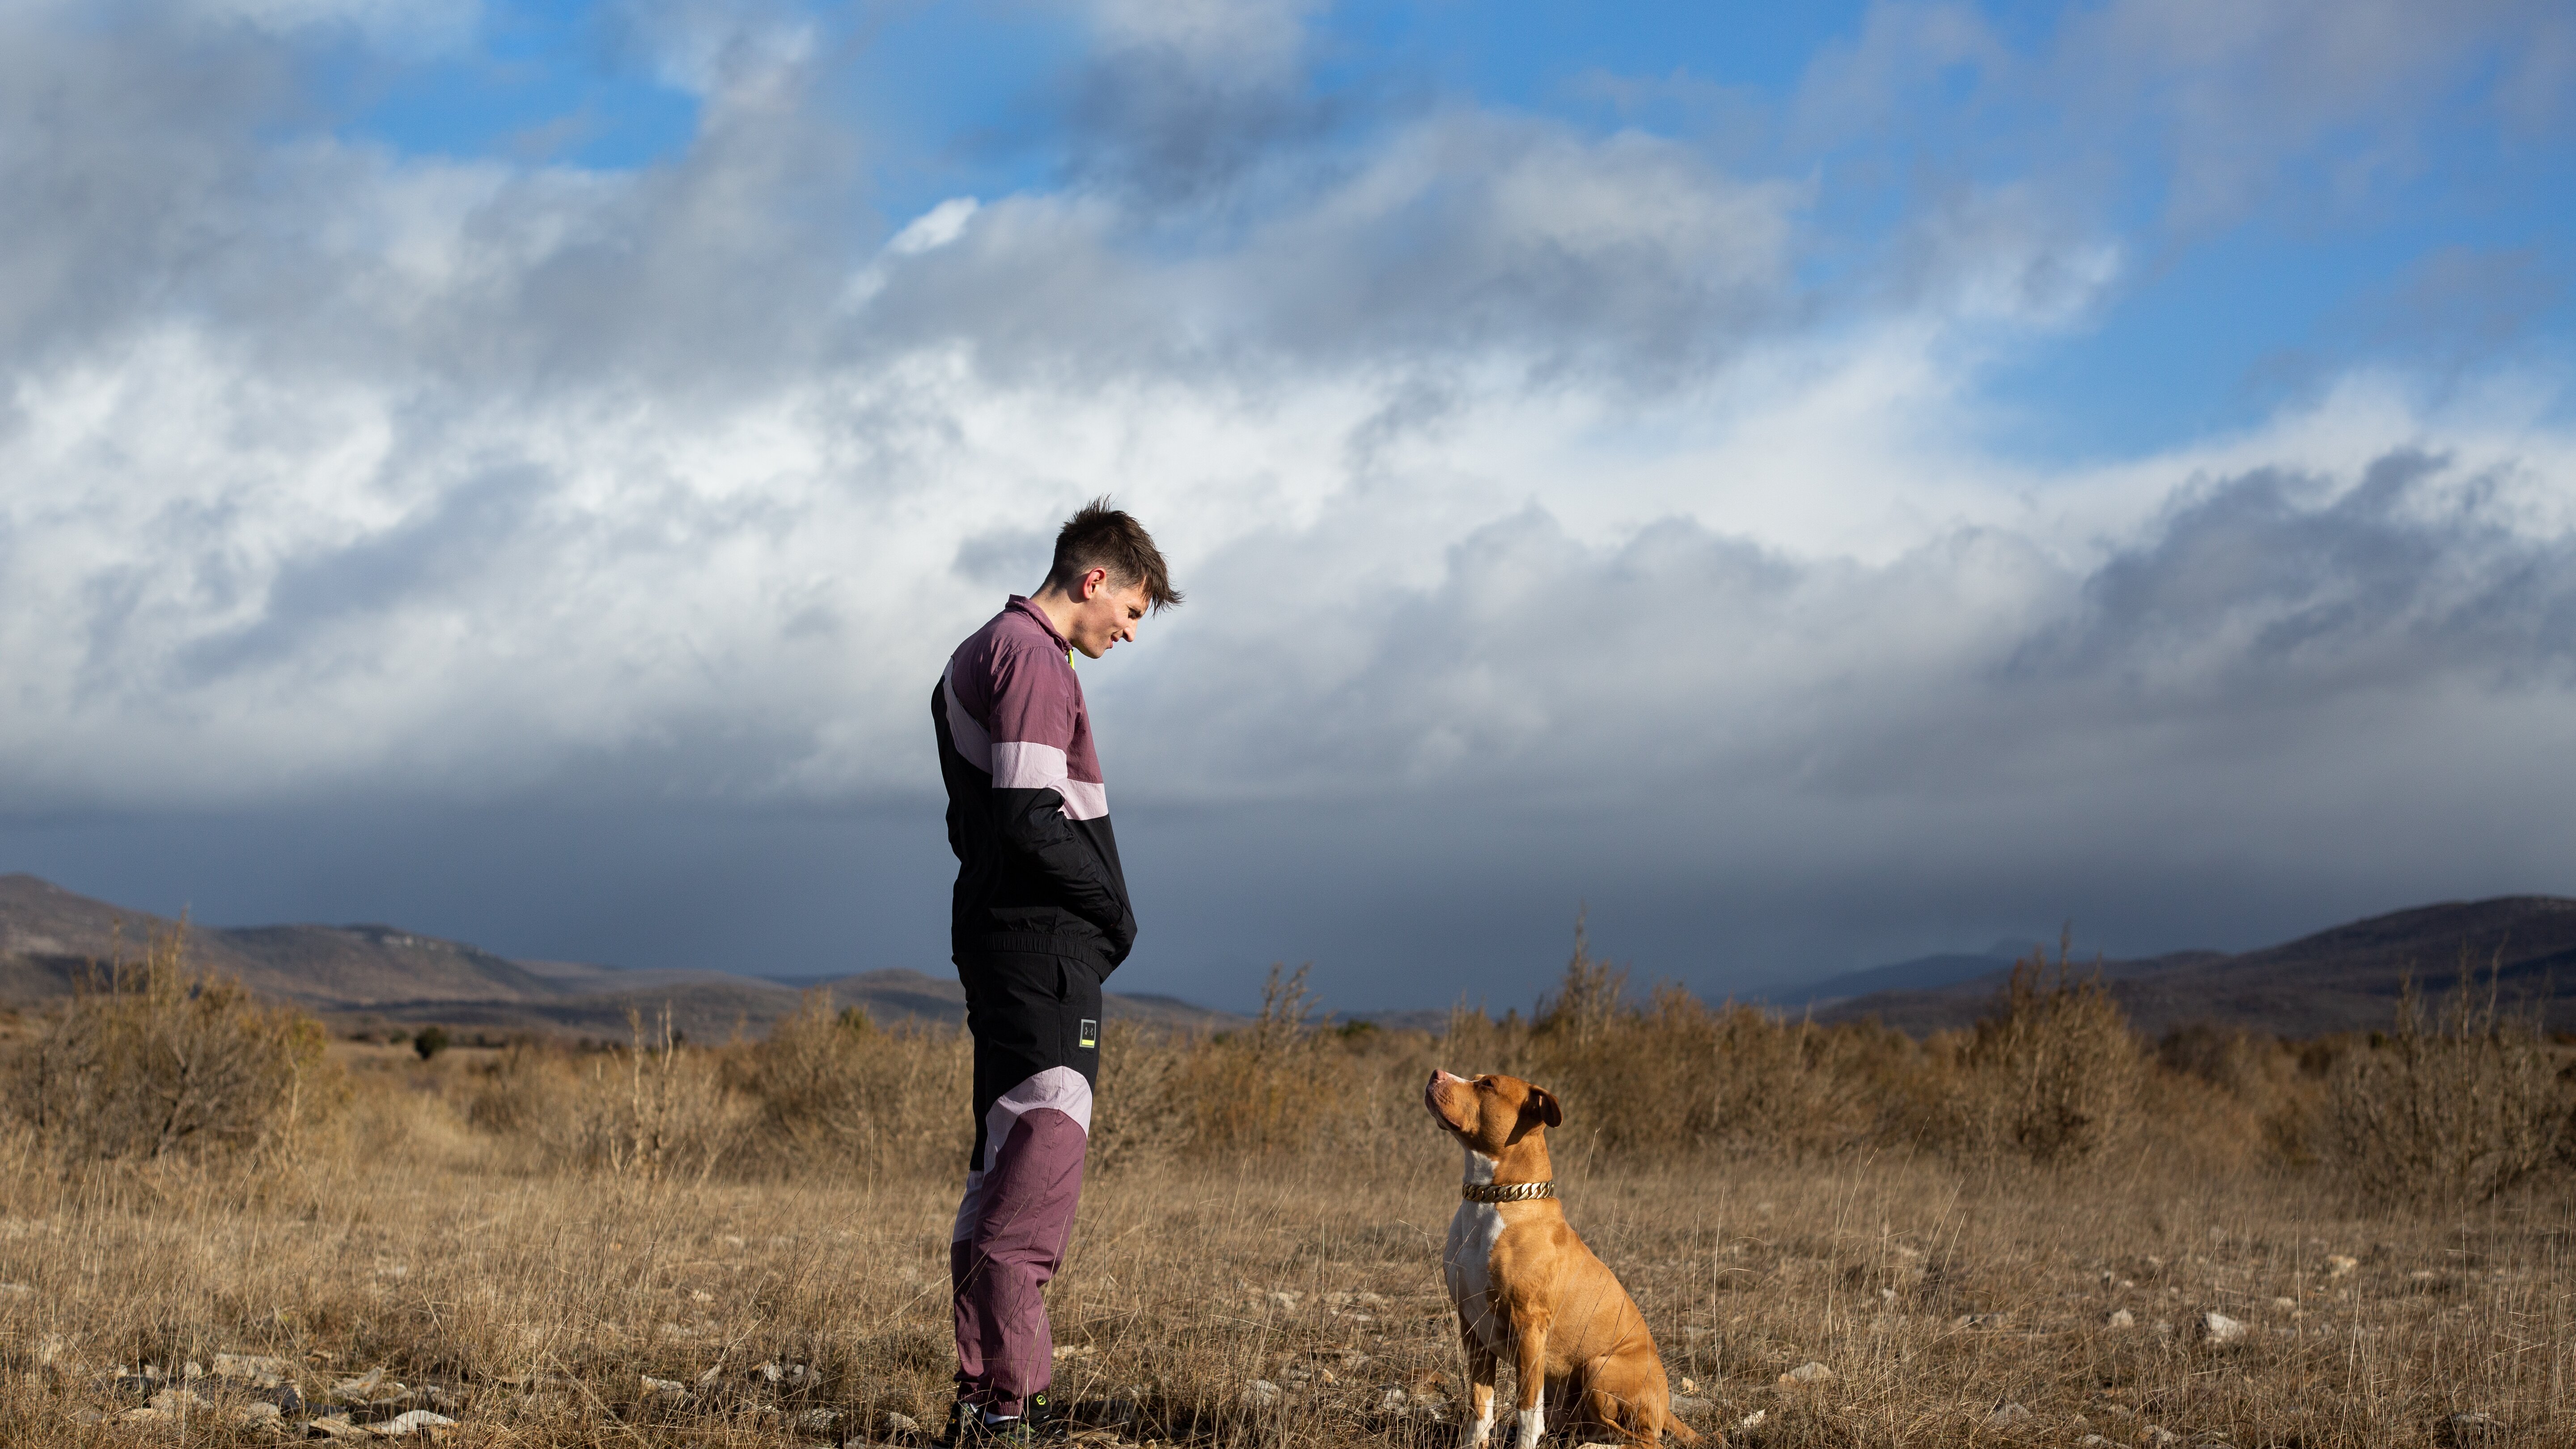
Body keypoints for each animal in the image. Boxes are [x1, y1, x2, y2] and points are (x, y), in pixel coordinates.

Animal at [1424, 1069, 1700, 1448]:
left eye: (1488, 1085)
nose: (1436, 1073)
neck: (1493, 1198)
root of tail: (1667, 1406)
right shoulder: (1472, 1325)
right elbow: (1481, 1405)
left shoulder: (1529, 1326)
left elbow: (1527, 1410)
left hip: (1600, 1368)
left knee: (1642, 1439)